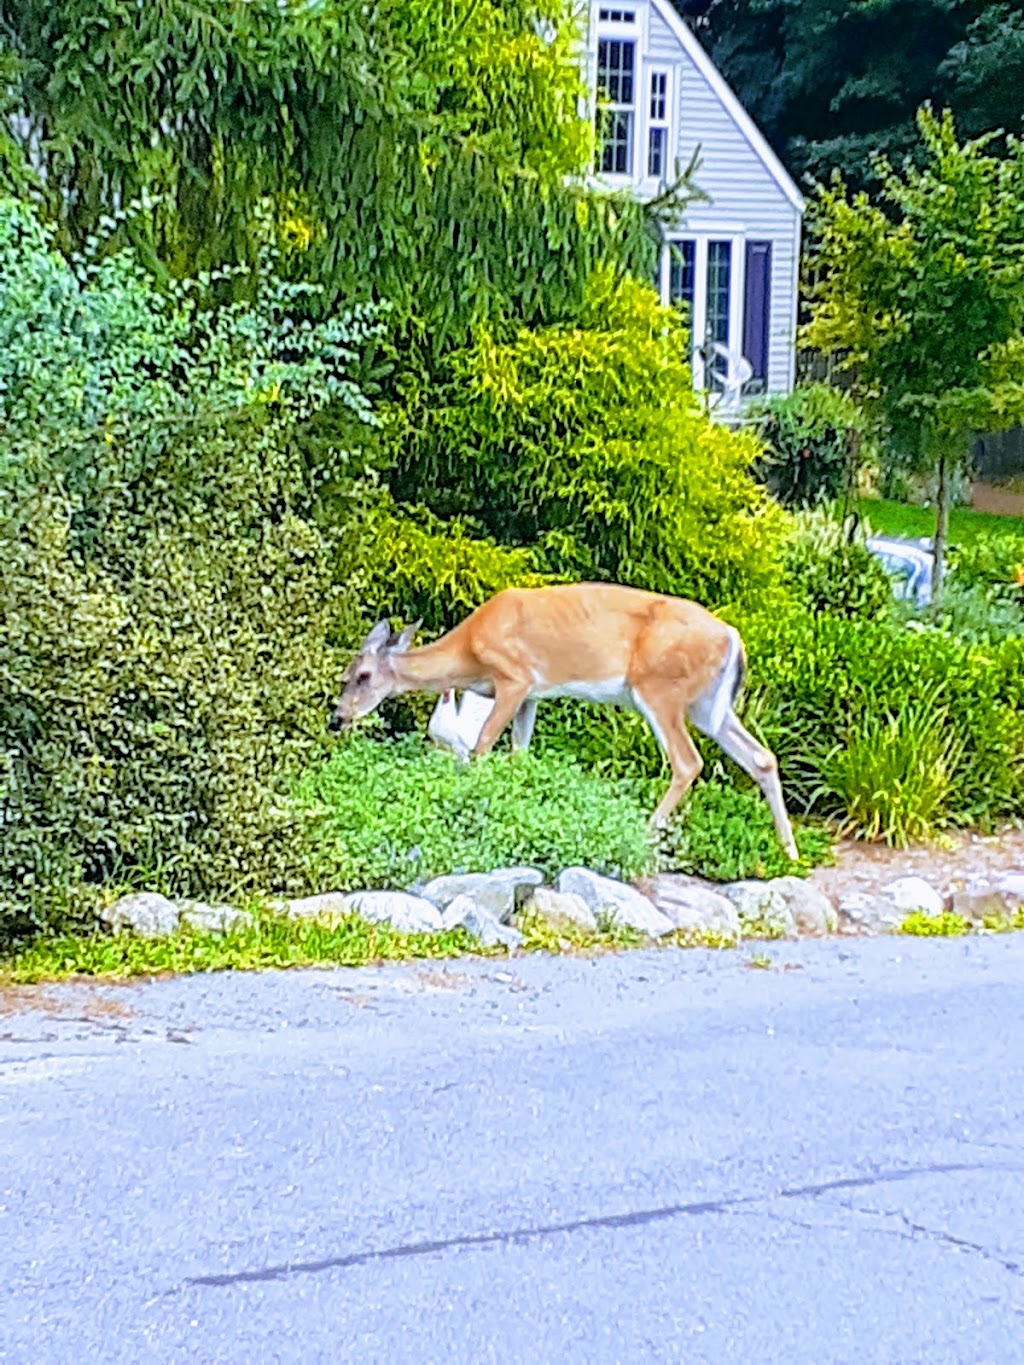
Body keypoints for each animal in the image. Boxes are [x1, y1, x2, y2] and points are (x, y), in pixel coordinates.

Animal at [329, 581, 802, 857]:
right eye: (346, 675)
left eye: (362, 676)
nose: (336, 718)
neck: (470, 655)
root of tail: (733, 637)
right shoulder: (531, 695)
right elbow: (519, 754)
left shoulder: (514, 677)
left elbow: (482, 747)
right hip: (706, 705)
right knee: (761, 757)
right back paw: (789, 850)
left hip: (659, 688)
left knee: (688, 762)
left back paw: (643, 833)